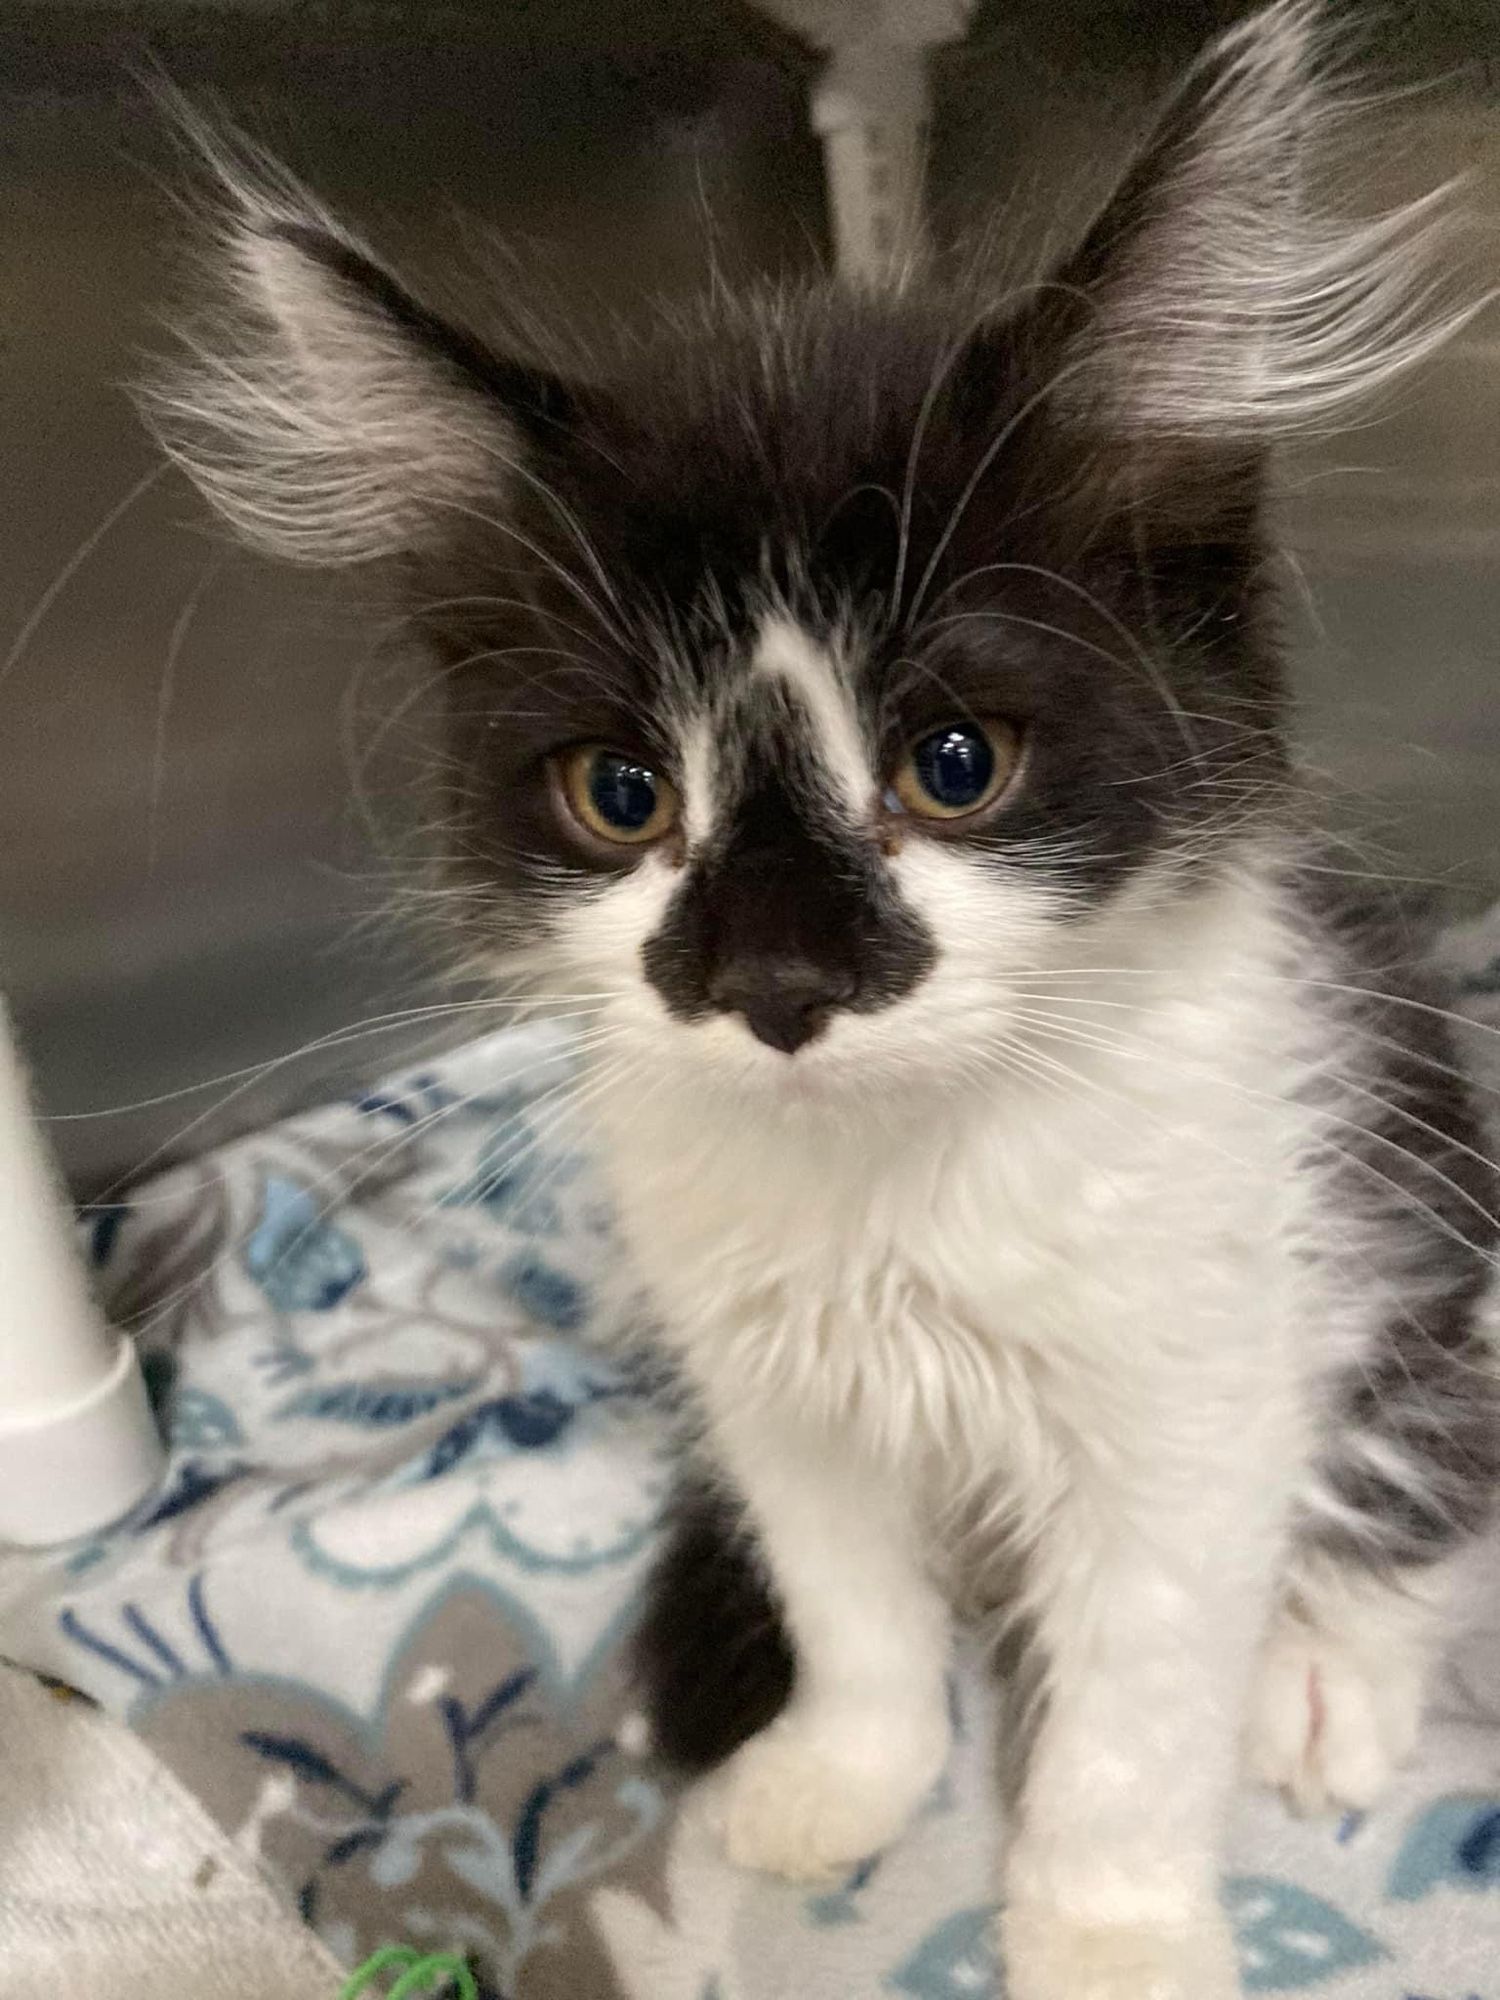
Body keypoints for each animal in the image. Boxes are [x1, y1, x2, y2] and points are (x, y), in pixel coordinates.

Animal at [150, 7, 1500, 1992]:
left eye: (955, 764)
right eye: (622, 795)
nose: (775, 984)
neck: (891, 1182)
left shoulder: (1191, 1384)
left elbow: (1135, 1709)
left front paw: (1106, 1926)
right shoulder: (770, 1378)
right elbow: (852, 1602)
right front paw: (844, 1772)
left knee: (1417, 1470)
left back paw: (1326, 1671)